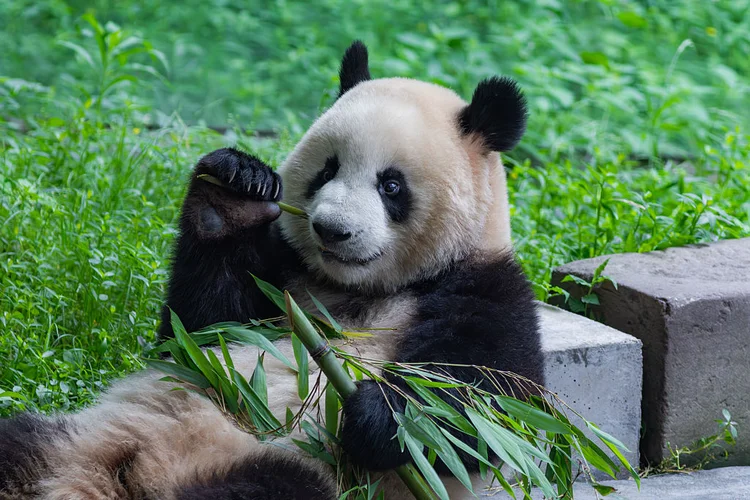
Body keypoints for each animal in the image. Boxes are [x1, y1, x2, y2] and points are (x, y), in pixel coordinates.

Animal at [0, 41, 543, 499]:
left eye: (391, 186)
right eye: (327, 169)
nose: (332, 230)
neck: (356, 289)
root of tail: (107, 479)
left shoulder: (486, 286)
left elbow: (478, 412)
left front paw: (376, 414)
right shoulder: (285, 274)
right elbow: (199, 329)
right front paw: (233, 193)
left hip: (273, 465)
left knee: (265, 487)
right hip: (81, 432)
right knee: (21, 440)